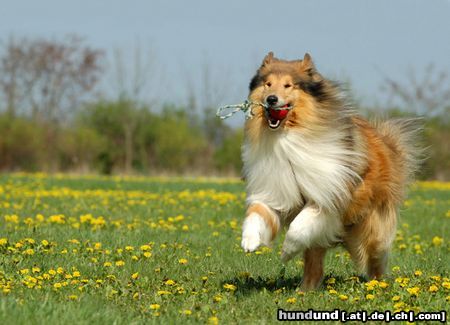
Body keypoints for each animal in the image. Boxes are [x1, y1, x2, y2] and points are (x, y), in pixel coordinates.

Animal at [241, 52, 420, 290]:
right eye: (267, 84)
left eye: (288, 85)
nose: (271, 99)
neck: (287, 137)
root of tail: (386, 142)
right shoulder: (275, 192)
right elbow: (257, 213)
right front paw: (249, 241)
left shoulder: (327, 199)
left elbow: (297, 227)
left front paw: (287, 251)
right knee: (314, 263)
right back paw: (304, 290)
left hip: (372, 229)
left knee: (376, 257)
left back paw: (377, 284)